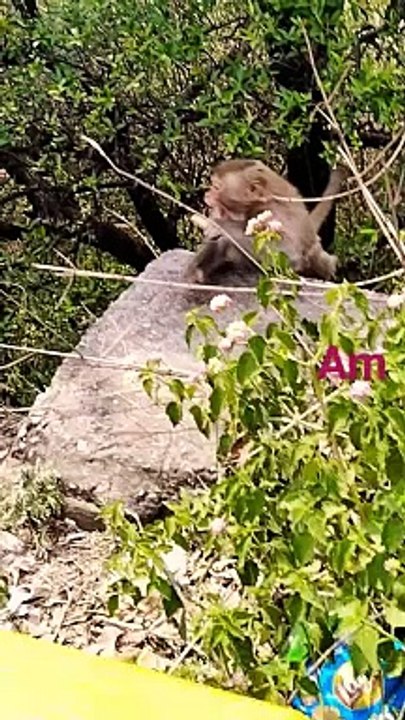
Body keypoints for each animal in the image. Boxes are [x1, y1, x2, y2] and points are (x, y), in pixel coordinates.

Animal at [185, 159, 345, 283]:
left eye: (216, 187)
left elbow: (288, 251)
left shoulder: (274, 212)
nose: (207, 194)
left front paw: (219, 225)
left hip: (316, 254)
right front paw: (198, 268)